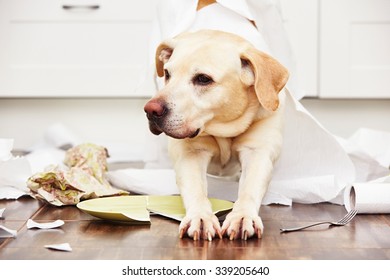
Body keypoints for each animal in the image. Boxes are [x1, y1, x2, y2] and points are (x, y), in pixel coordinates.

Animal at [145, 30, 288, 241]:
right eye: (168, 74)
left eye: (203, 79)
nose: (150, 110)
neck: (224, 128)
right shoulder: (191, 153)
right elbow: (195, 188)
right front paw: (200, 216)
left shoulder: (257, 151)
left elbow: (249, 188)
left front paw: (242, 216)